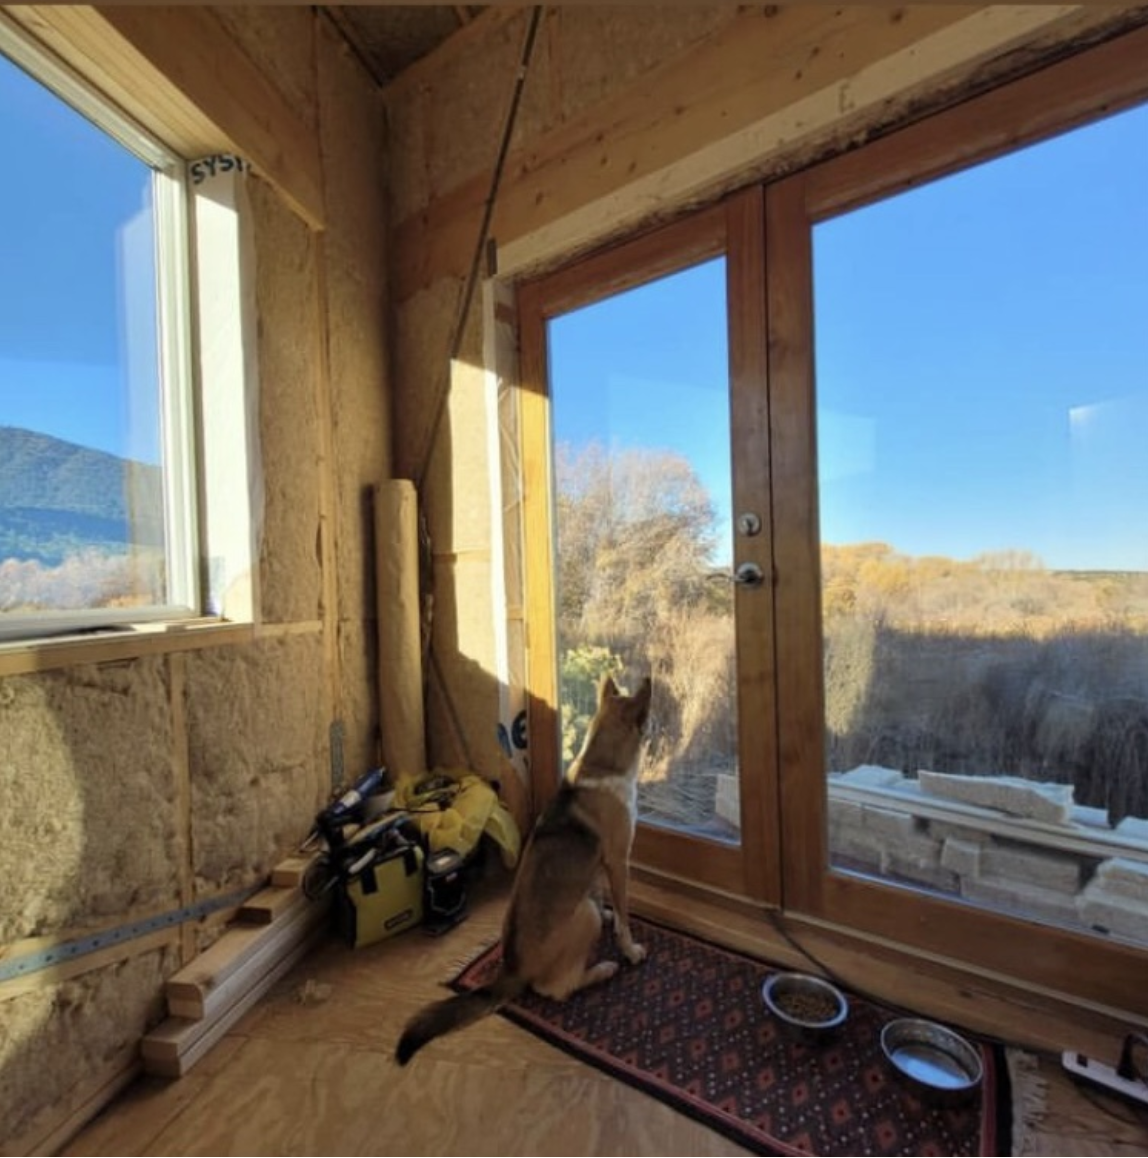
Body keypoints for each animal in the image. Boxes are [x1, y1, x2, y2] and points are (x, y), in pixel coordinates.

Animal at [393, 671, 648, 1065]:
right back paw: (602, 970)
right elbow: (623, 914)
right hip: (583, 919)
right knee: (556, 989)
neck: (601, 765)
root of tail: (511, 970)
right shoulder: (619, 861)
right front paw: (630, 949)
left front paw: (613, 918)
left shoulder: (602, 865)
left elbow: (604, 896)